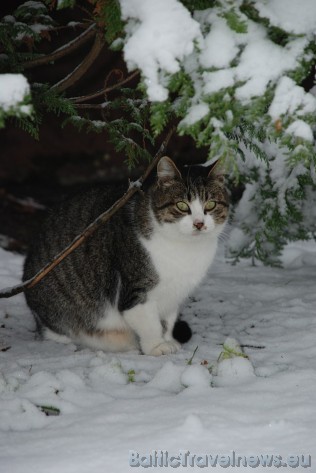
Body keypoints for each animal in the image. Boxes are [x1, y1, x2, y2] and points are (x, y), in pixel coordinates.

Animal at [23, 157, 228, 356]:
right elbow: (150, 324)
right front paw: (156, 346)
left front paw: (168, 340)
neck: (186, 250)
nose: (199, 223)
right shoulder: (135, 291)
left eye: (211, 205)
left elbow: (167, 322)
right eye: (182, 205)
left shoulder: (175, 295)